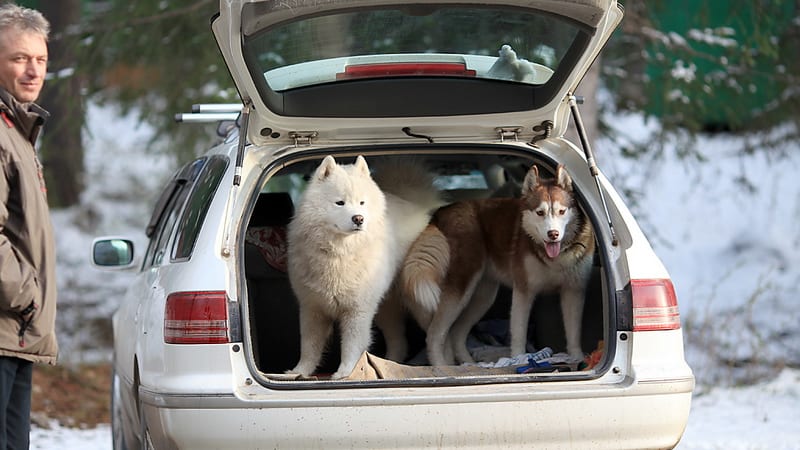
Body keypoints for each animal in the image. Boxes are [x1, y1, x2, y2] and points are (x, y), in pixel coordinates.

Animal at [286, 155, 441, 378]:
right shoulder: (312, 308)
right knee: (399, 341)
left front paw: (345, 373)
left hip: (418, 300)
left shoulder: (356, 311)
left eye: (362, 202)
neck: (339, 253)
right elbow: (309, 346)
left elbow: (351, 346)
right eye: (340, 203)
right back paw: (390, 364)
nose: (358, 218)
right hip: (387, 308)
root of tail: (415, 204)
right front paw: (299, 372)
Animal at [401, 164, 595, 366]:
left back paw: (470, 365)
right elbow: (519, 332)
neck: (555, 259)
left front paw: (577, 357)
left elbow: (574, 332)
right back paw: (443, 367)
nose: (553, 234)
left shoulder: (574, 291)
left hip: (482, 297)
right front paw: (520, 359)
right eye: (540, 212)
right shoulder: (524, 290)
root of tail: (441, 212)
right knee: (434, 335)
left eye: (561, 211)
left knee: (455, 334)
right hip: (459, 291)